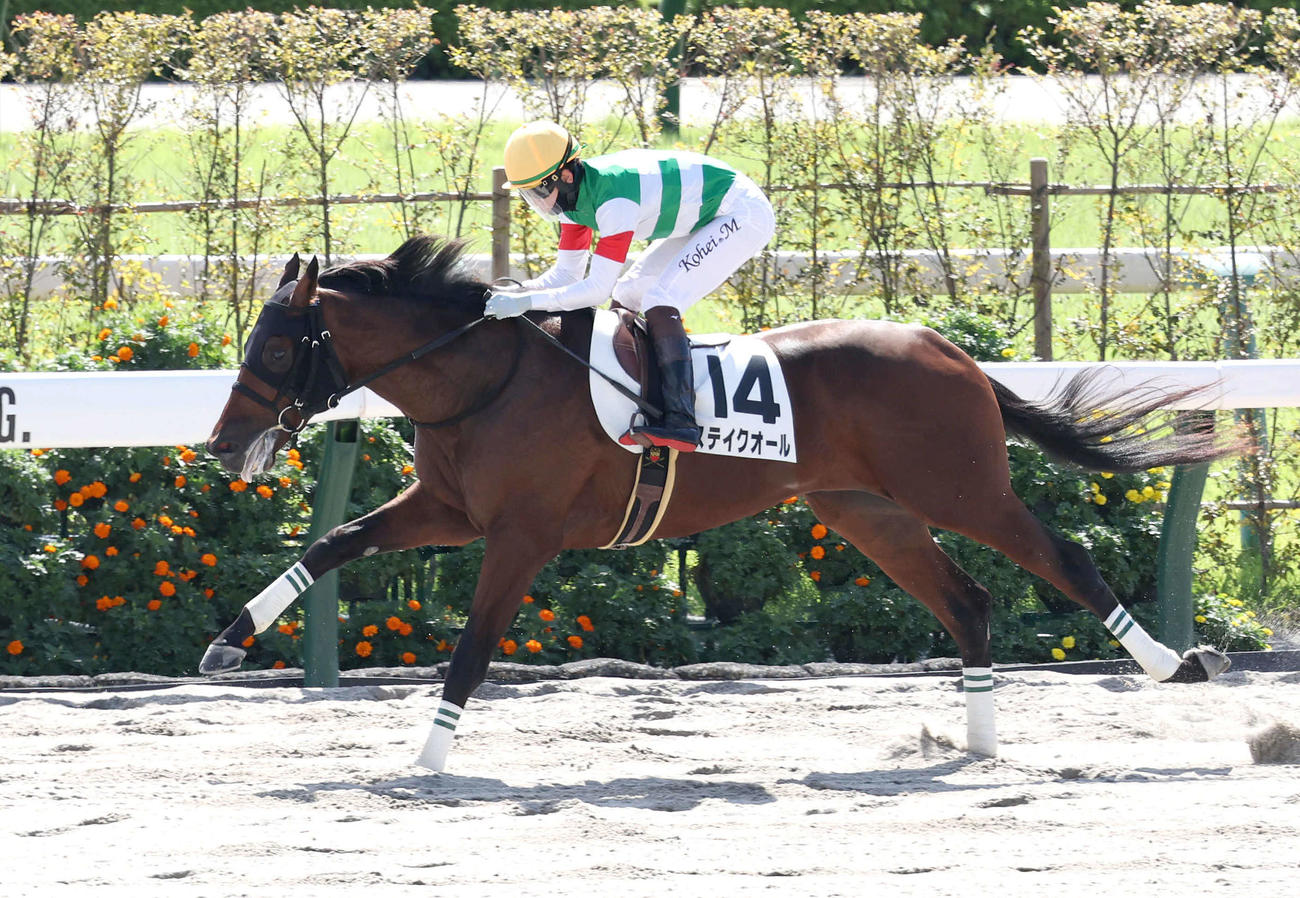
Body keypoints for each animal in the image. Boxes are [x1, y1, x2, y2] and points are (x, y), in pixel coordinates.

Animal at [201, 235, 1237, 772]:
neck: (487, 378)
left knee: (1067, 563)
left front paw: (428, 758)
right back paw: (976, 745)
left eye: (279, 345)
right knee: (969, 602)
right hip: (867, 510)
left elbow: (471, 647)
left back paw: (1173, 664)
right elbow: (334, 542)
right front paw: (228, 642)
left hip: (963, 487)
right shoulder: (448, 509)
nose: (221, 443)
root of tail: (952, 351)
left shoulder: (521, 535)